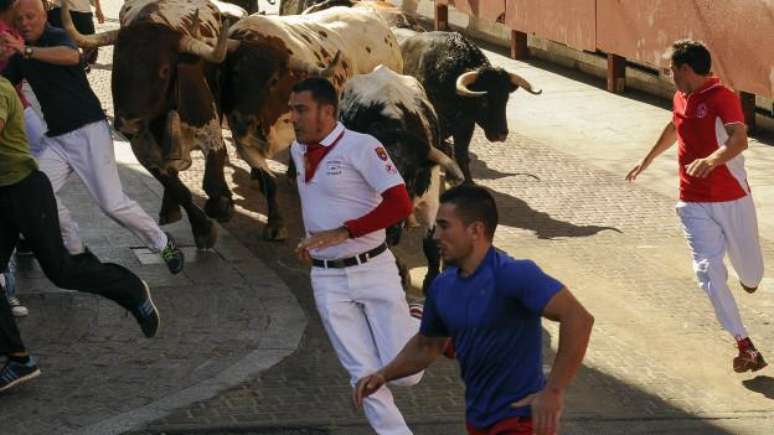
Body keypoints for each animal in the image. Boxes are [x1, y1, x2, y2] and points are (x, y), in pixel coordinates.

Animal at [62, 0, 241, 249]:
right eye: (118, 65)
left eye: (164, 70)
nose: (129, 123)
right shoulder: (142, 150)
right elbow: (177, 188)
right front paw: (202, 228)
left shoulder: (210, 131)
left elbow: (213, 181)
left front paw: (222, 206)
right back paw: (169, 208)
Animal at [223, 6, 406, 240]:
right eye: (235, 72)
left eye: (273, 80)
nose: (243, 120)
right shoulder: (243, 139)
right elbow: (268, 180)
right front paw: (275, 221)